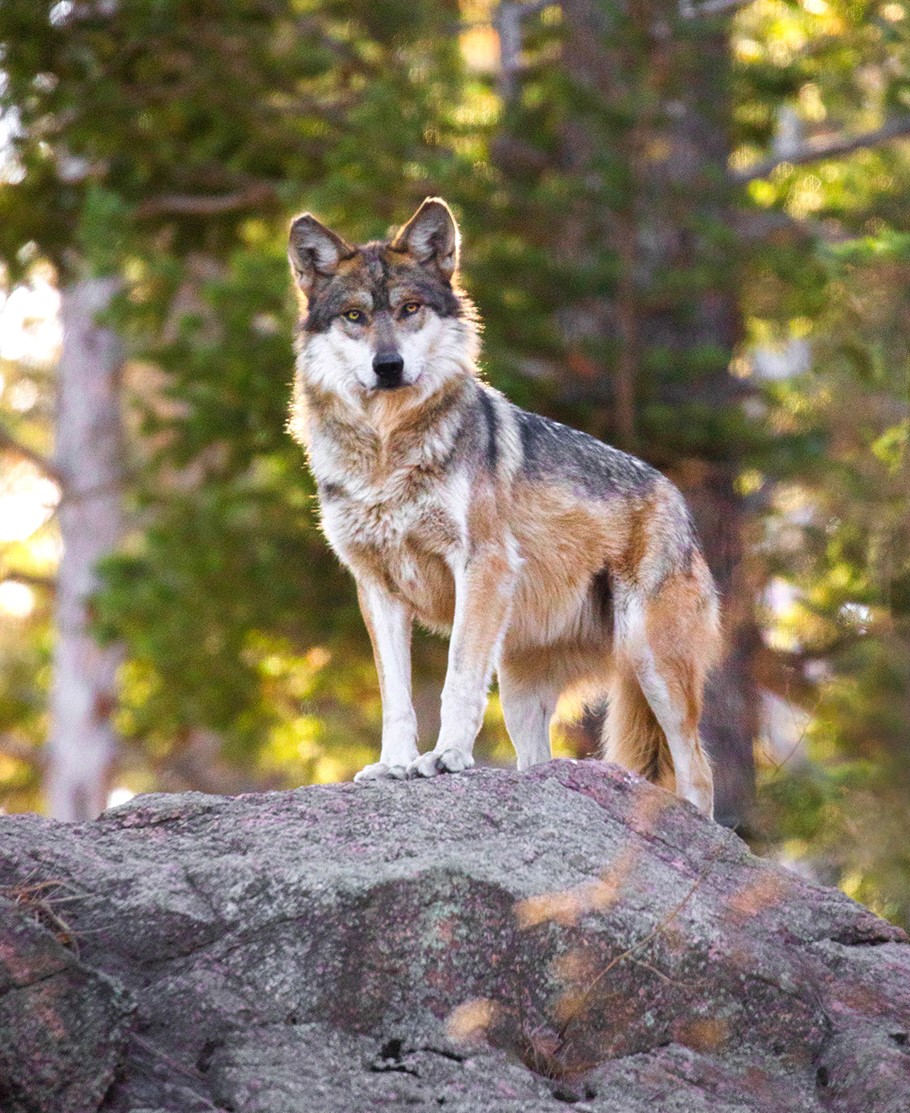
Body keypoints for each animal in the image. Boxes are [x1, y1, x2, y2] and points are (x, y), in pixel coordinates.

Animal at [288, 198, 720, 816]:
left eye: (410, 308)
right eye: (354, 316)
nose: (388, 366)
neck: (387, 451)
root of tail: (676, 496)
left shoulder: (481, 565)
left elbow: (456, 680)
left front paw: (444, 758)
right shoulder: (375, 587)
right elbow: (396, 697)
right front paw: (393, 766)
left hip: (650, 663)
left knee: (699, 774)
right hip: (521, 690)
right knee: (536, 764)